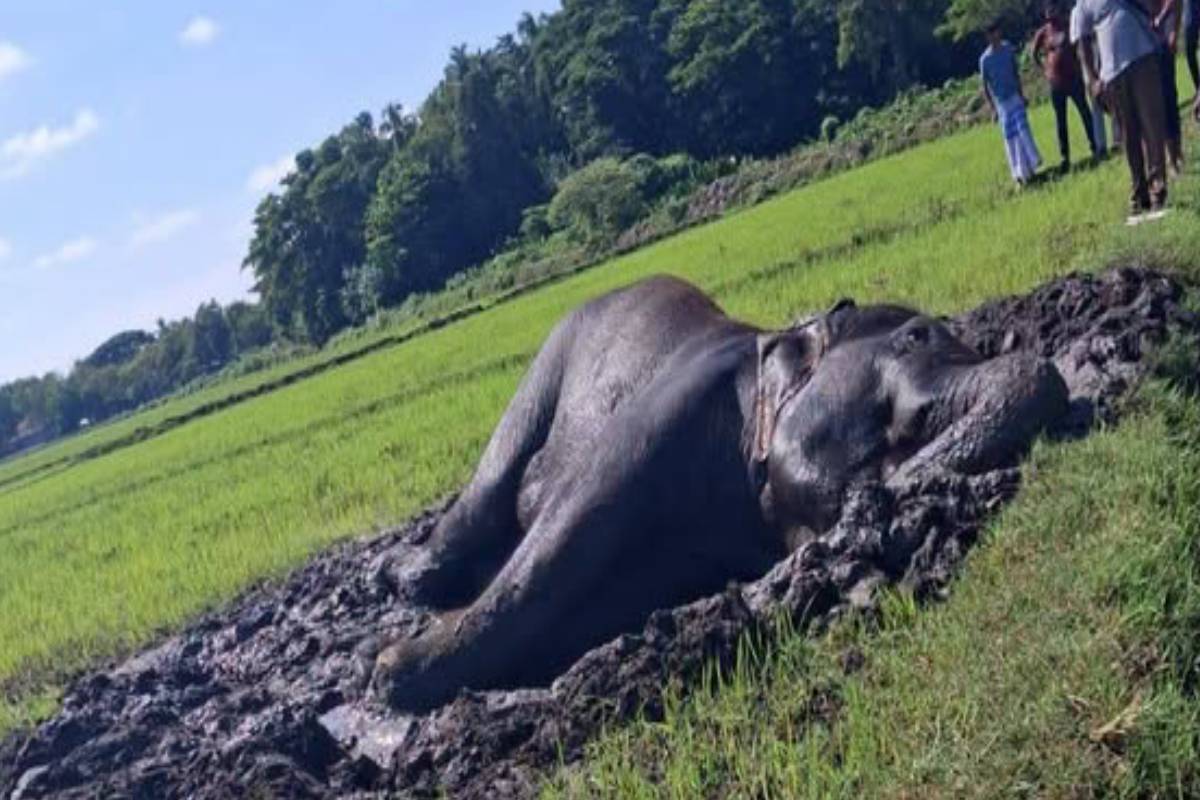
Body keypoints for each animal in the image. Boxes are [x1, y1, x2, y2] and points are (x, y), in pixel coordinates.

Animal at [373, 275, 1069, 712]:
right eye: (917, 336)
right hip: (551, 355)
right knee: (493, 478)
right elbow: (563, 535)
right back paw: (402, 581)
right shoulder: (667, 409)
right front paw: (391, 672)